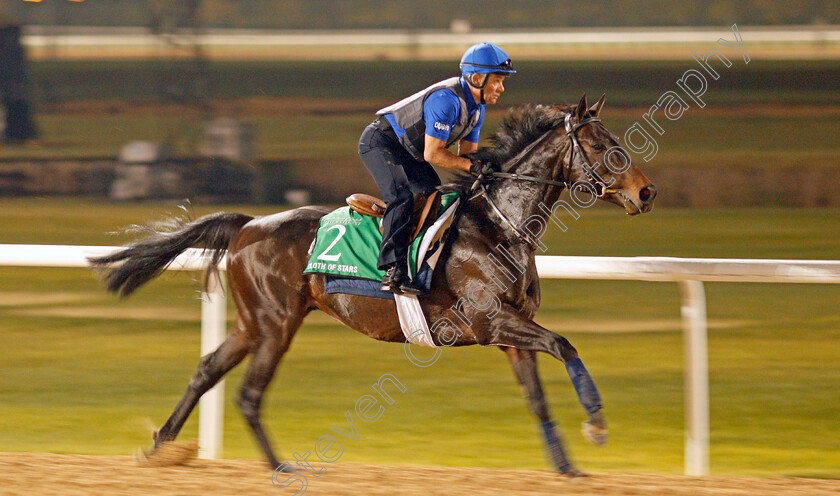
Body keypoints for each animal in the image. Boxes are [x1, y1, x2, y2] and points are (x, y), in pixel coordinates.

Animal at [90, 94, 656, 476]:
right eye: (602, 145)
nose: (646, 192)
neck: (500, 224)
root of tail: (248, 225)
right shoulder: (492, 320)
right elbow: (565, 344)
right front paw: (597, 425)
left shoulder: (510, 331)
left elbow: (537, 395)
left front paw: (567, 468)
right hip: (276, 323)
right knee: (249, 394)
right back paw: (279, 468)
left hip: (255, 322)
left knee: (207, 370)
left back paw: (161, 444)